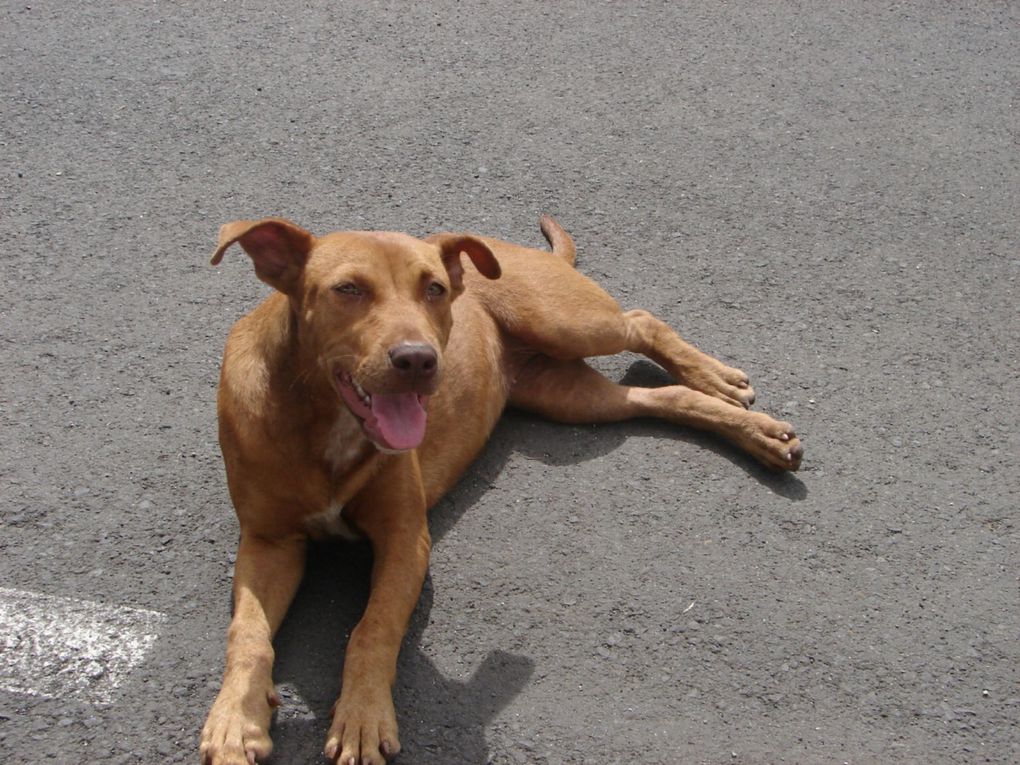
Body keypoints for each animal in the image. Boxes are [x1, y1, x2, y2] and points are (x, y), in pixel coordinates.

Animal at [196, 217, 803, 765]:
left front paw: (363, 717)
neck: (323, 424)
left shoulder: (405, 539)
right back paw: (756, 431)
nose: (418, 360)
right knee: (661, 397)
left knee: (640, 321)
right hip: (573, 398)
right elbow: (247, 633)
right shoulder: (269, 542)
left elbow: (373, 628)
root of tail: (513, 247)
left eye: (434, 289)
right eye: (347, 289)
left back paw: (719, 379)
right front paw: (235, 720)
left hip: (565, 323)